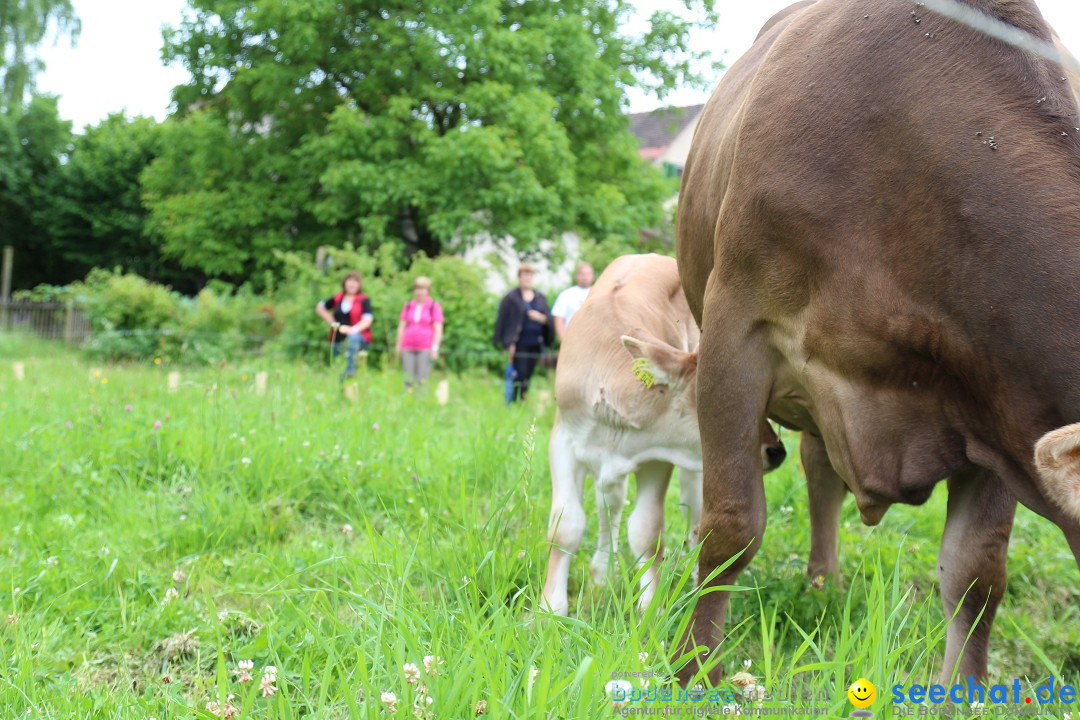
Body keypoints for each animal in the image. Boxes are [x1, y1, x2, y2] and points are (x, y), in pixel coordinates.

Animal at [678, 0, 1080, 686]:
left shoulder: (1001, 400)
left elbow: (977, 572)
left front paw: (963, 693)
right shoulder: (738, 322)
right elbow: (730, 525)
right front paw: (690, 672)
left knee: (819, 470)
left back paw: (823, 584)